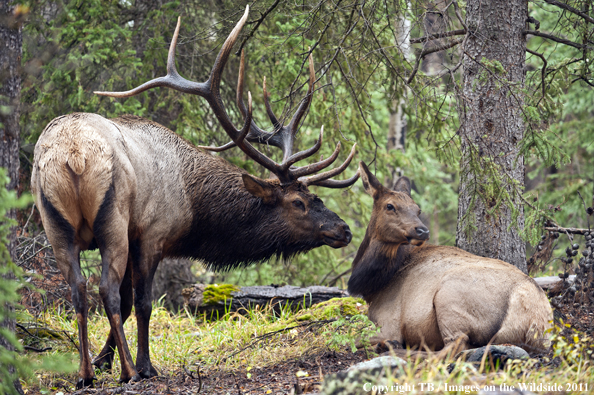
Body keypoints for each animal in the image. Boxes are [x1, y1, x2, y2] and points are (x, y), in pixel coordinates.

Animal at [31, 6, 356, 390]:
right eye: (298, 203)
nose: (344, 229)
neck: (192, 207)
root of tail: (74, 154)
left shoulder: (134, 237)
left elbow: (125, 304)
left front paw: (103, 359)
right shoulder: (150, 235)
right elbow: (140, 302)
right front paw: (143, 365)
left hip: (55, 223)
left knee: (78, 289)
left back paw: (84, 374)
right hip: (112, 222)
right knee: (105, 289)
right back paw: (129, 371)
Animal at [346, 162, 552, 358]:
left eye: (417, 209)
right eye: (389, 206)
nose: (423, 230)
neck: (374, 286)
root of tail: (537, 321)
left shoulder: (388, 323)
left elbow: (355, 340)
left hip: (449, 296)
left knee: (453, 345)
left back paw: (393, 349)